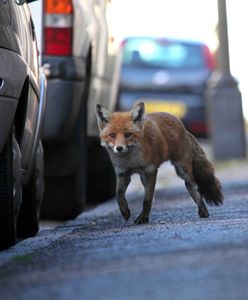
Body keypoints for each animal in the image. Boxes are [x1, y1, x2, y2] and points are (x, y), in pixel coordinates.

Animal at [95, 102, 223, 224]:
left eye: (128, 134)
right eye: (112, 135)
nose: (119, 148)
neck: (131, 161)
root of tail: (183, 127)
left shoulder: (150, 171)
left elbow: (147, 200)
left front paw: (144, 219)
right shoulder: (123, 174)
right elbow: (119, 196)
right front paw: (125, 212)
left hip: (182, 171)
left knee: (194, 187)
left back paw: (203, 210)